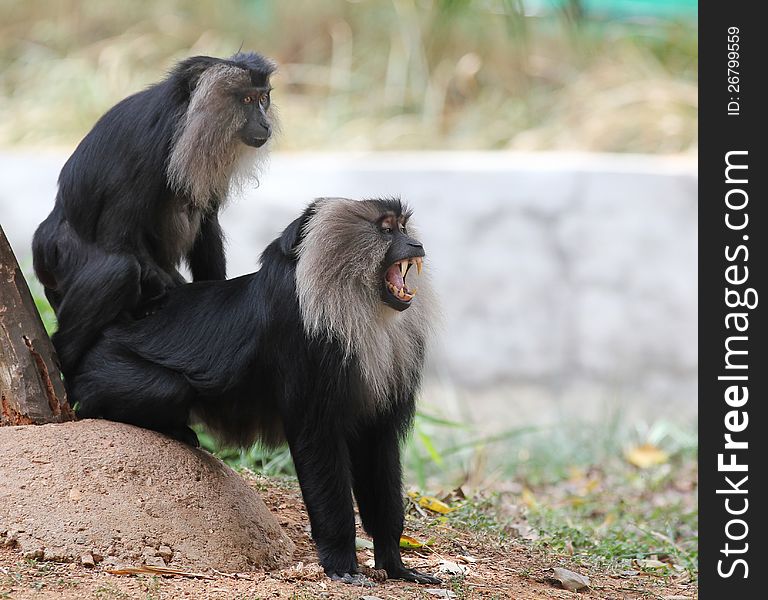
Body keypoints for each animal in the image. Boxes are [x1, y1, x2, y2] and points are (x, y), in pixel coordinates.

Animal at [33, 51, 280, 376]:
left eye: (263, 98)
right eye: (248, 100)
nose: (265, 124)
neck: (184, 117)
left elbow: (207, 226)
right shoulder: (150, 145)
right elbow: (116, 237)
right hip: (62, 258)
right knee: (119, 269)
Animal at [69, 199, 440, 584]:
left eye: (403, 227)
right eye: (387, 230)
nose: (415, 244)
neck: (358, 308)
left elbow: (376, 446)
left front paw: (394, 561)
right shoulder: (304, 339)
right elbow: (315, 439)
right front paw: (340, 561)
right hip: (104, 370)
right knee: (163, 389)